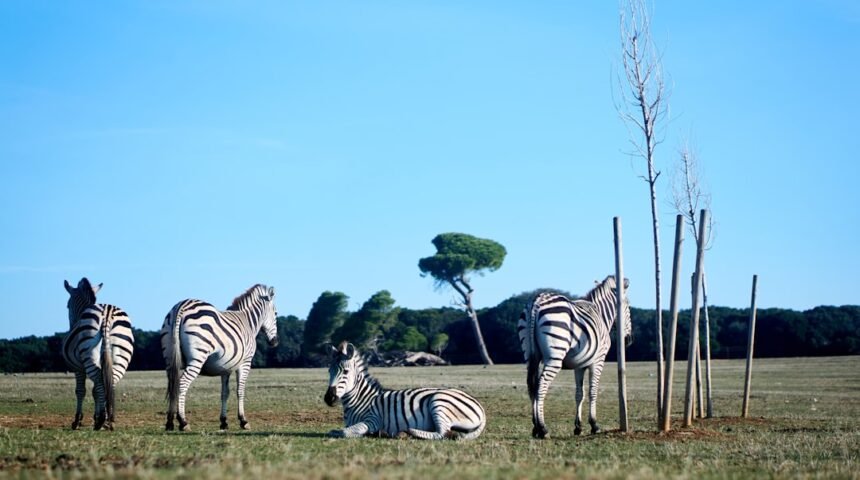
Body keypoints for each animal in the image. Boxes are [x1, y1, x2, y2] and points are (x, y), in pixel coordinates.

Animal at [62, 278, 135, 431]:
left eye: (67, 305)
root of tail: (107, 313)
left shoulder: (78, 368)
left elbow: (81, 390)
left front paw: (77, 420)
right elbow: (95, 391)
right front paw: (96, 417)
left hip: (89, 356)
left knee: (100, 382)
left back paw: (102, 420)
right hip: (121, 356)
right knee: (110, 382)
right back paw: (108, 420)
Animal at [161, 284, 278, 431]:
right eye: (276, 314)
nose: (275, 342)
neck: (248, 322)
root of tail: (182, 305)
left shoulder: (225, 367)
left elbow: (225, 393)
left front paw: (224, 421)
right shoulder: (245, 362)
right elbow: (240, 390)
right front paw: (243, 420)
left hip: (169, 359)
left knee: (173, 384)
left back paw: (170, 422)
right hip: (197, 357)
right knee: (182, 384)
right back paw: (183, 421)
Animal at [324, 341, 486, 440]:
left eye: (345, 372)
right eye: (329, 371)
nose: (329, 398)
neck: (360, 400)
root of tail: (479, 405)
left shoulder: (373, 420)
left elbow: (343, 432)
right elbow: (335, 431)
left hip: (439, 402)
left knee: (442, 432)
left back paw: (407, 432)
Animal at [517, 275, 632, 439]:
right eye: (628, 306)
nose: (628, 340)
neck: (601, 314)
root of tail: (537, 301)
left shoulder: (580, 365)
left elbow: (579, 394)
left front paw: (578, 427)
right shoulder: (598, 361)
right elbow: (592, 392)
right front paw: (594, 425)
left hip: (530, 355)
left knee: (532, 386)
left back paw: (535, 428)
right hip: (554, 356)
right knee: (541, 386)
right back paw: (543, 428)